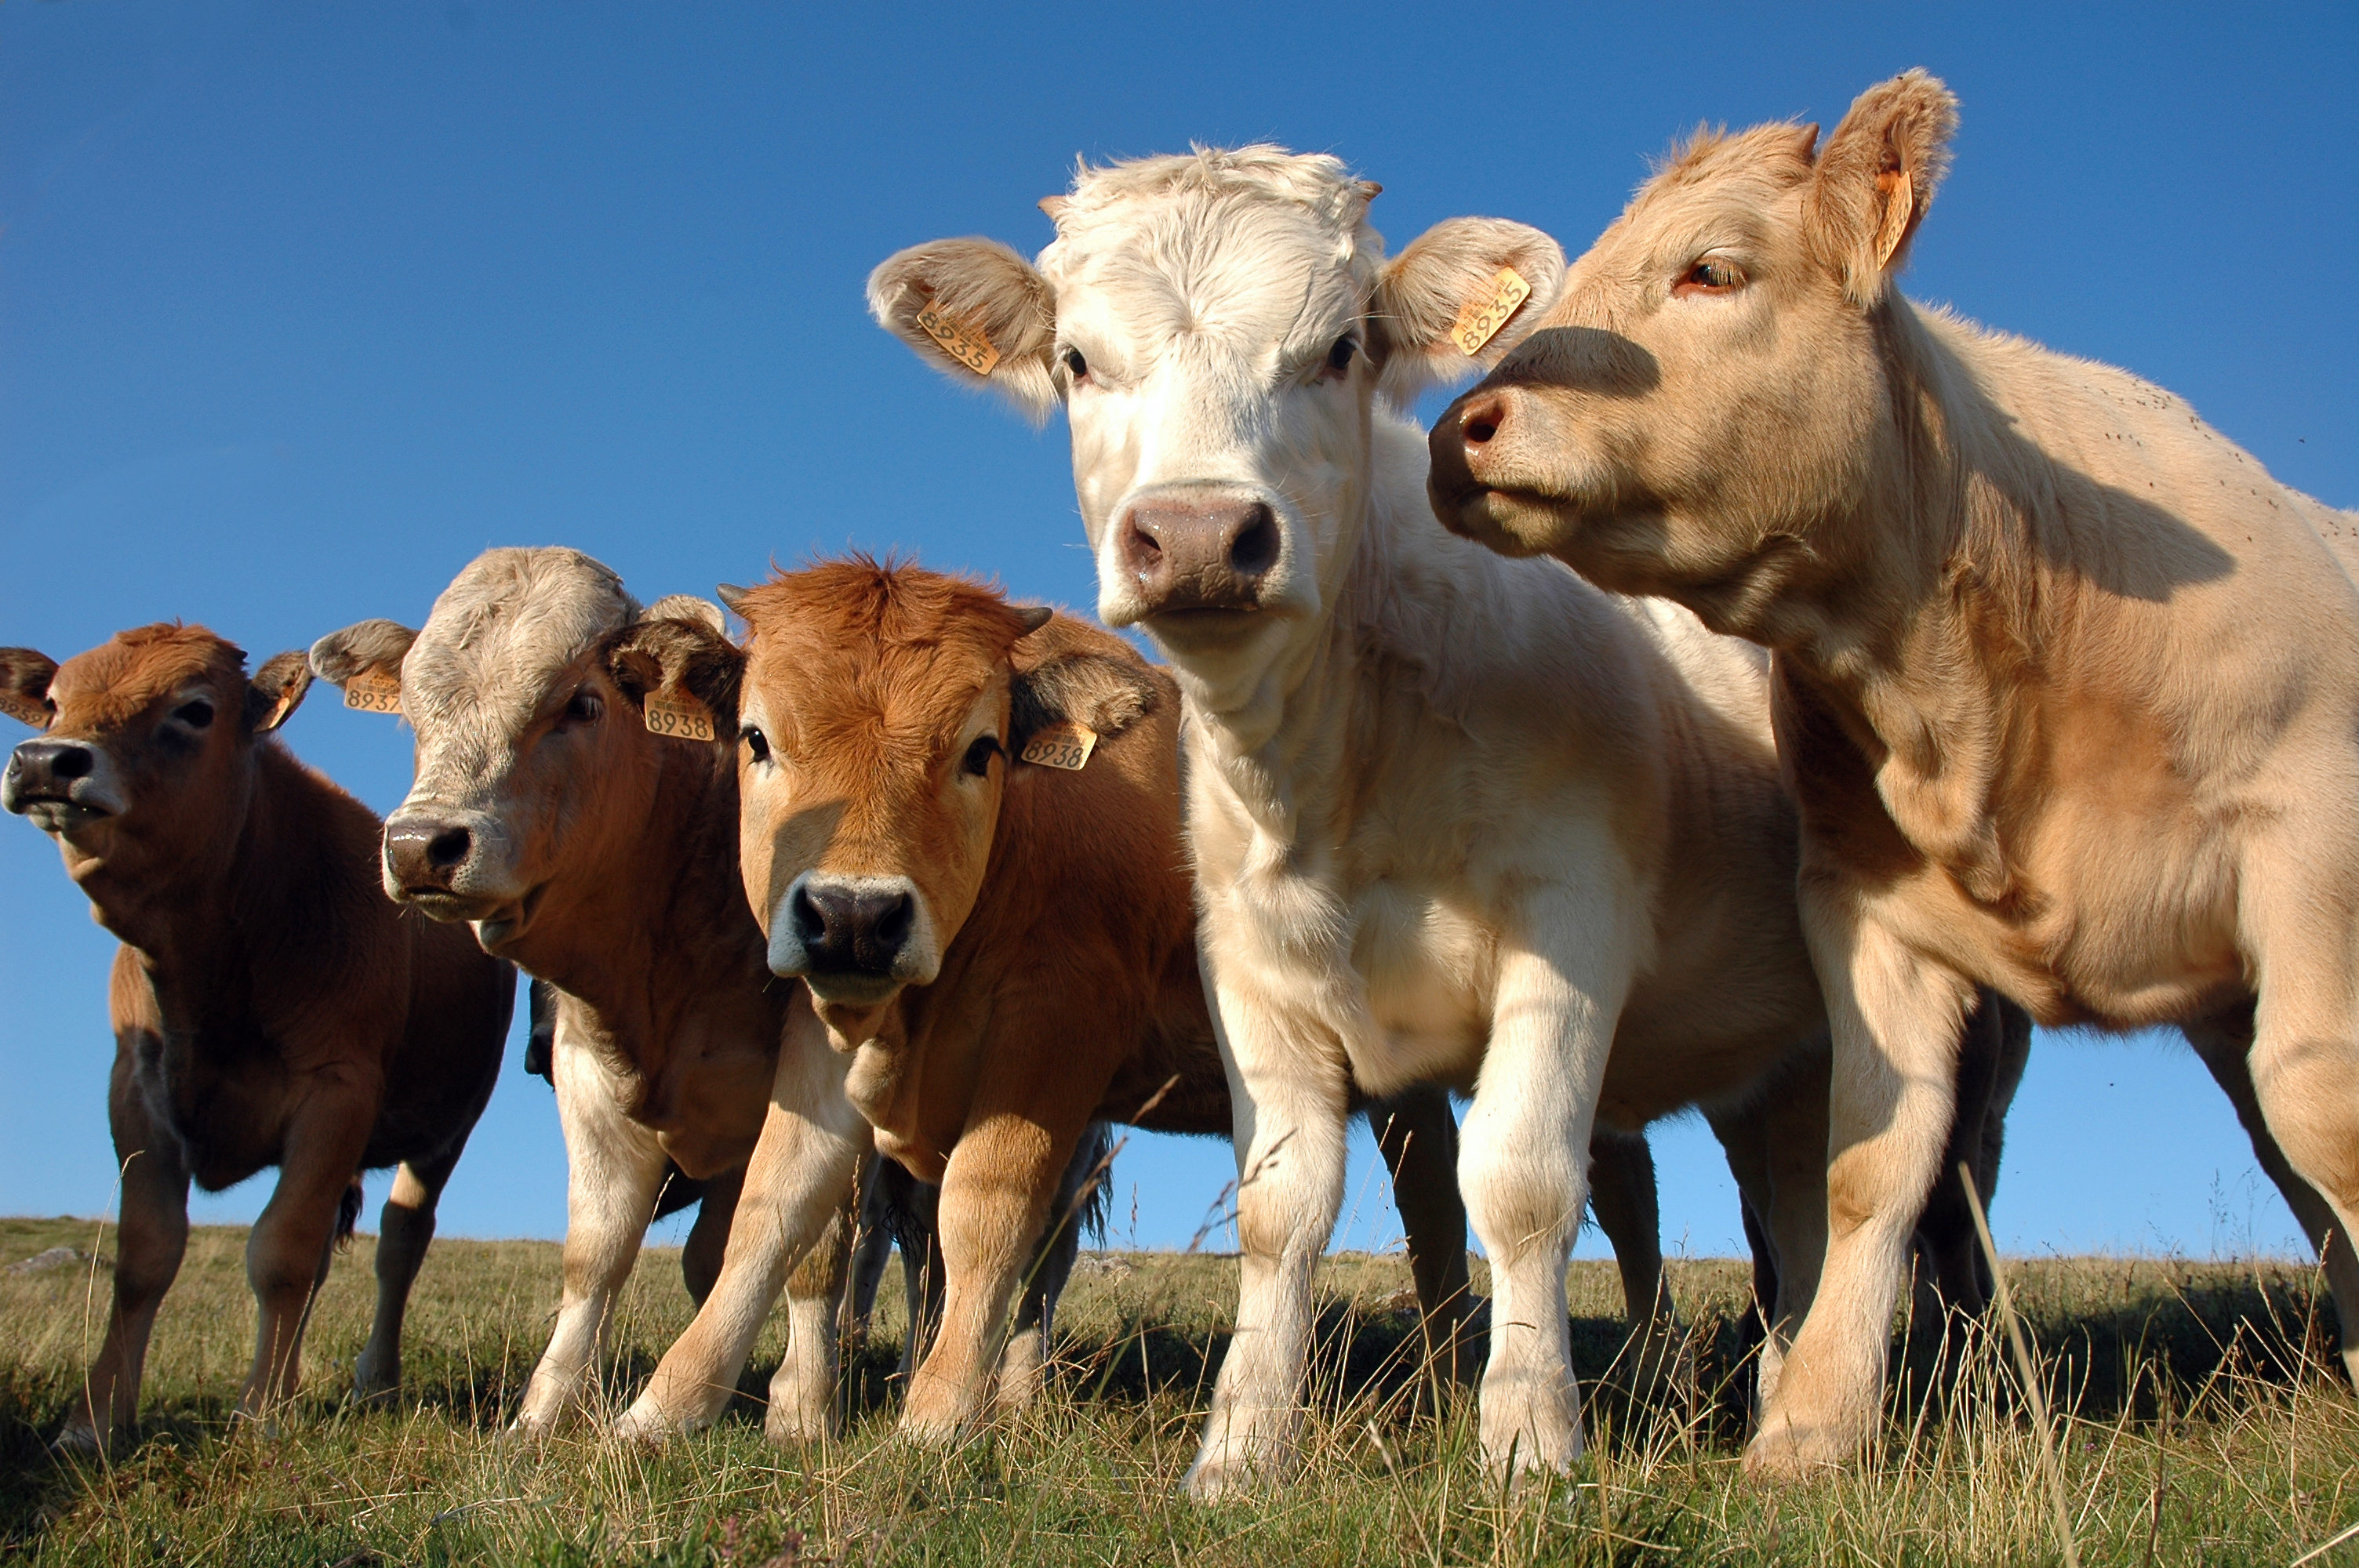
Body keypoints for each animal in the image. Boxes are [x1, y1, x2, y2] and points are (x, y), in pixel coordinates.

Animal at [0, 622, 514, 1443]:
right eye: (51, 701)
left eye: (195, 710)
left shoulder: (336, 1093)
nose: (48, 761)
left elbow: (281, 1252)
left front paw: (260, 1414)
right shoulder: (134, 1093)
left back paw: (374, 1384)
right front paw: (95, 1418)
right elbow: (143, 1259)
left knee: (400, 1243)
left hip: (443, 1131)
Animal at [309, 546, 872, 1433]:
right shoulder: (584, 1064)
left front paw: (804, 1410)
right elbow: (598, 1252)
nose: (419, 844)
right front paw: (542, 1412)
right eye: (413, 708)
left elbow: (811, 1247)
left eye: (582, 703)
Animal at [1424, 64, 2359, 1480]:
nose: (1459, 430)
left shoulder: (2306, 845)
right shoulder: (1863, 913)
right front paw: (1809, 1429)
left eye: (1711, 270)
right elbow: (1872, 1168)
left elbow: (2326, 1116)